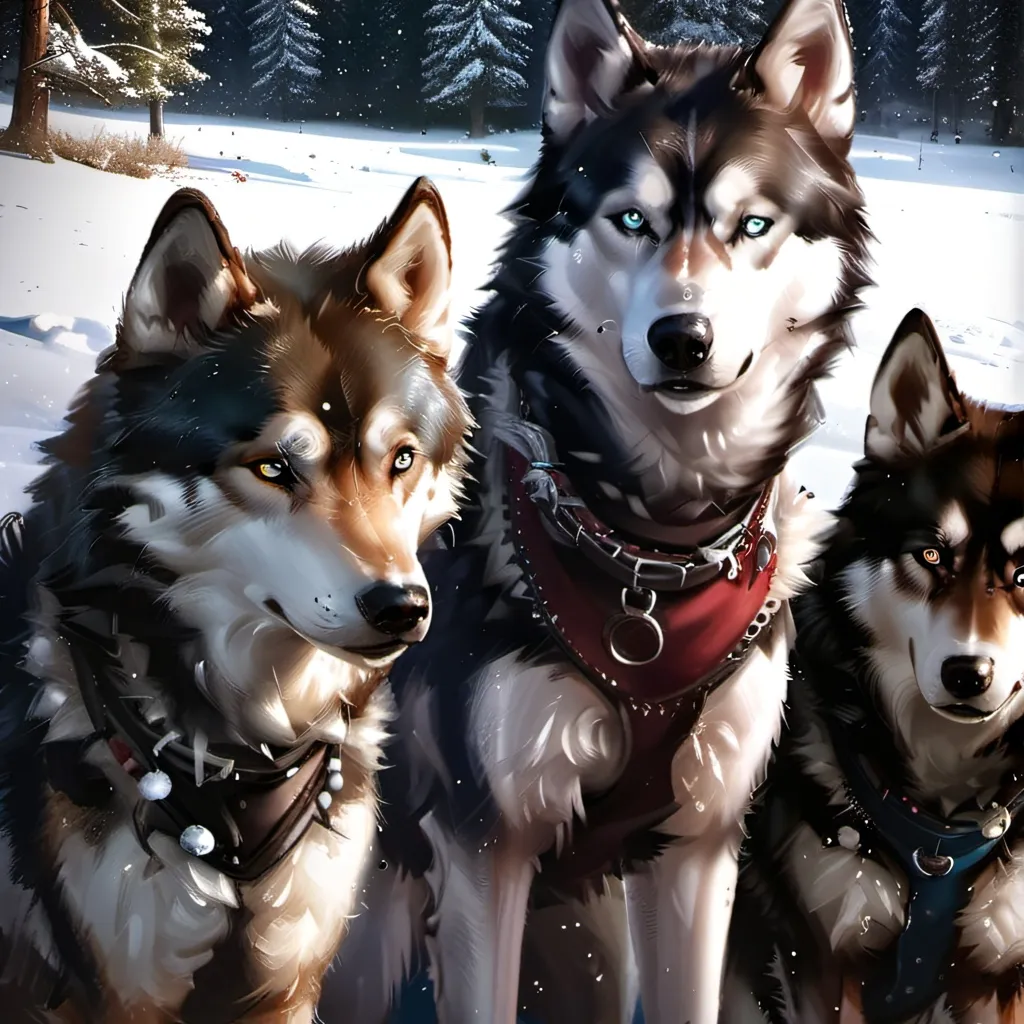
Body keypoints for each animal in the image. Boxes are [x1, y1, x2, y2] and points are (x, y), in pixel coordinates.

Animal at [0, 177, 472, 1023]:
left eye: (401, 459)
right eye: (274, 467)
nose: (402, 606)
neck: (245, 753)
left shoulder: (287, 983)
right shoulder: (118, 991)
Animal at [319, 0, 873, 1021]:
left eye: (755, 224)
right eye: (631, 219)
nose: (682, 337)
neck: (653, 545)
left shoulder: (700, 848)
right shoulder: (484, 845)